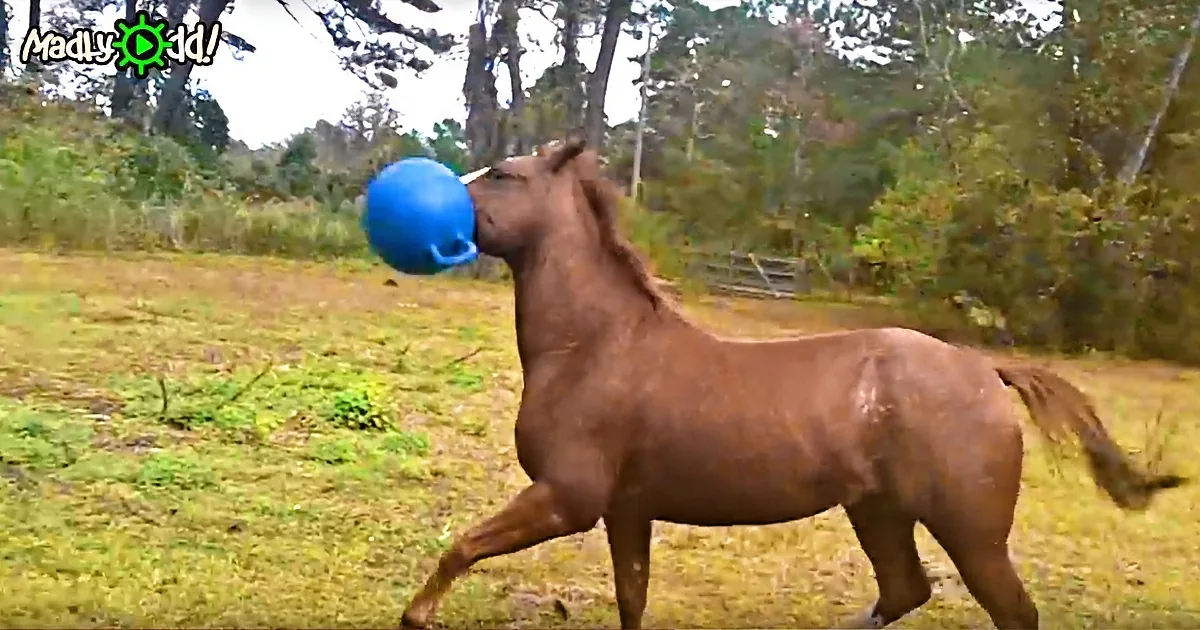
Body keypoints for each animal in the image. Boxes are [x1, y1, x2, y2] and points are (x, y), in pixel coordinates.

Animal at [399, 138, 1186, 629]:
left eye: (505, 173)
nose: (420, 197)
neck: (595, 347)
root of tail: (985, 369)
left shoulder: (569, 498)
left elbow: (461, 546)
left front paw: (415, 614)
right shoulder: (627, 511)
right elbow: (632, 599)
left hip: (973, 533)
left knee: (1007, 610)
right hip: (880, 512)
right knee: (905, 589)